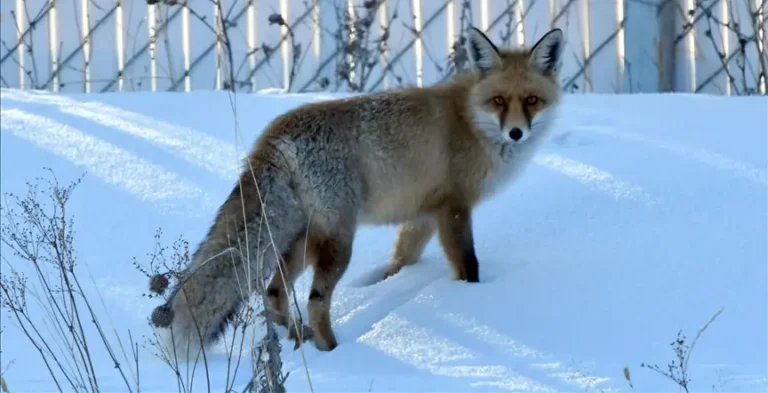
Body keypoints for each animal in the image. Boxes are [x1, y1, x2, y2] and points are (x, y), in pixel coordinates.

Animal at [150, 24, 564, 356]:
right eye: (499, 101)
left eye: (532, 100)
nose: (516, 133)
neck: (471, 121)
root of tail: (273, 135)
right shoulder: (455, 208)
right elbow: (468, 265)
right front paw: (472, 296)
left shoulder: (424, 215)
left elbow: (402, 259)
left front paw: (389, 281)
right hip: (338, 239)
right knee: (315, 299)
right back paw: (333, 349)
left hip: (304, 236)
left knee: (274, 290)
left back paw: (296, 336)